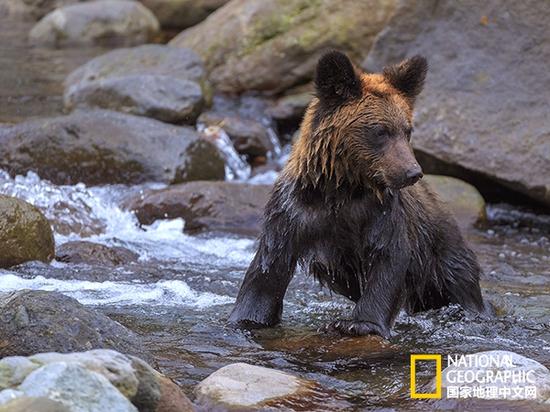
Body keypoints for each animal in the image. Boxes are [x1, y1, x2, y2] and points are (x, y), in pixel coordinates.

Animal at [229, 50, 492, 338]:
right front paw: (248, 317)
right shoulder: (293, 213)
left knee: (459, 285)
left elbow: (389, 260)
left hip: (442, 255)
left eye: (407, 129)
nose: (413, 172)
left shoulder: (380, 213)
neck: (341, 187)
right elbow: (268, 271)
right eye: (380, 131)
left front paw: (356, 323)